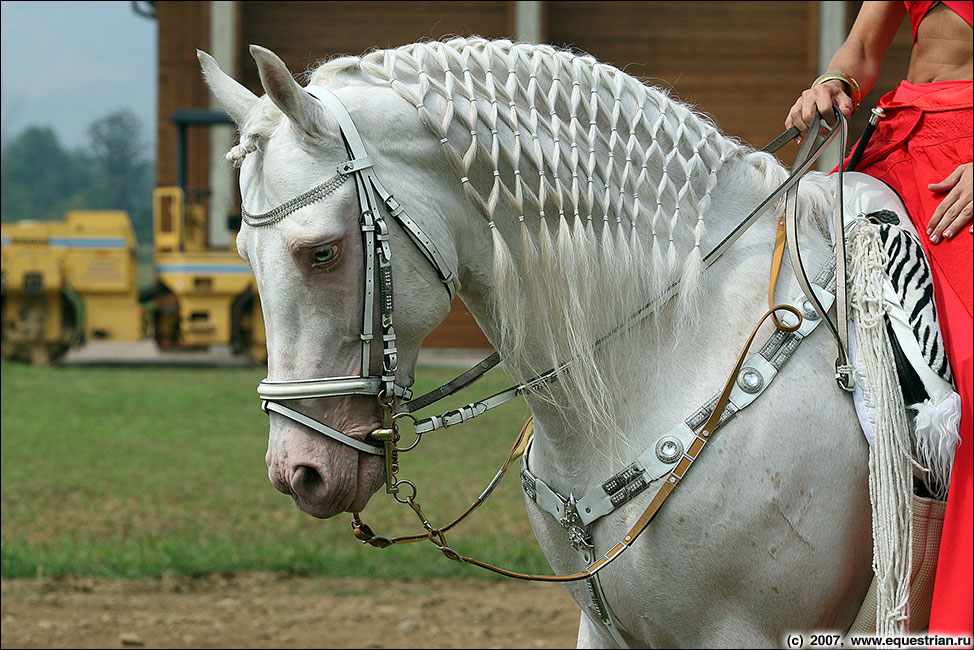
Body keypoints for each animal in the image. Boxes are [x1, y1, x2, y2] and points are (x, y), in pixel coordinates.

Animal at [202, 38, 872, 644]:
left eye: (322, 252)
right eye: (243, 253)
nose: (298, 472)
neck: (683, 339)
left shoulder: (745, 631)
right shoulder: (601, 628)